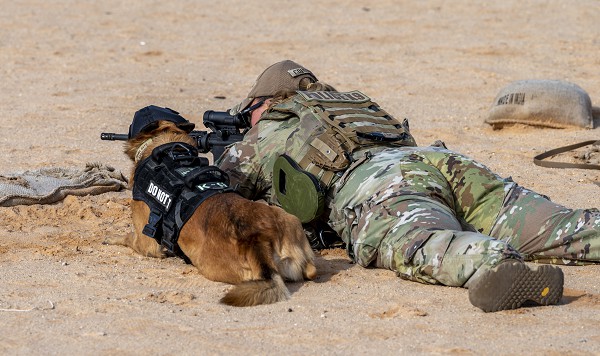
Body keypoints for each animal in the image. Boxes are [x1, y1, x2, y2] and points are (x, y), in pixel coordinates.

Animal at [105, 121, 316, 306]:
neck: (168, 146)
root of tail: (257, 241)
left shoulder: (147, 243)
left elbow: (129, 238)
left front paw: (112, 237)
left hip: (209, 265)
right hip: (290, 220)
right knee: (311, 270)